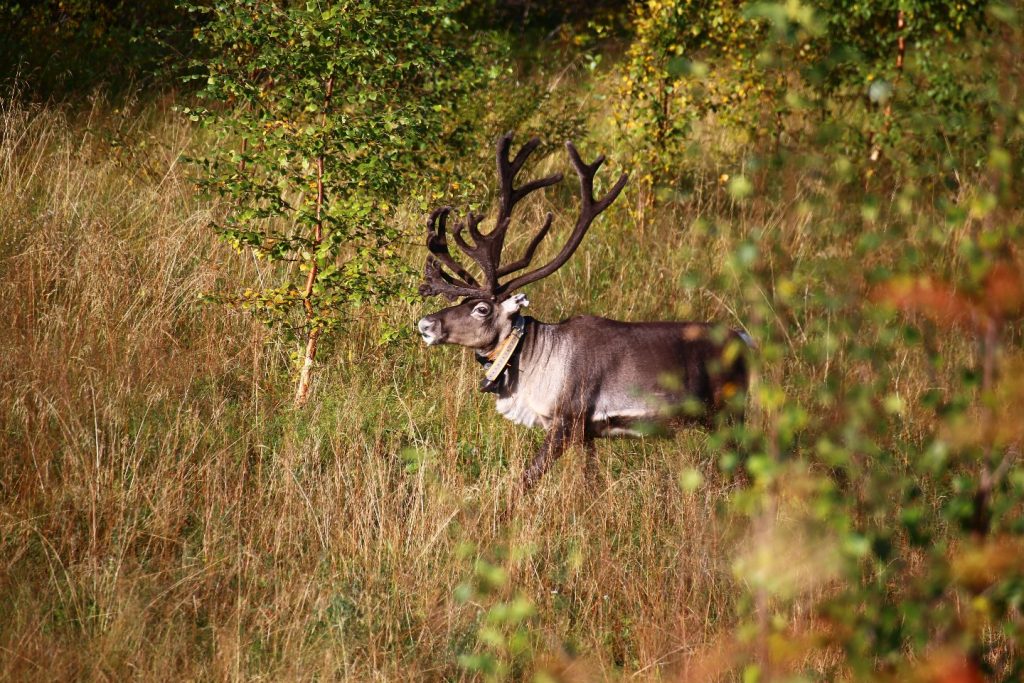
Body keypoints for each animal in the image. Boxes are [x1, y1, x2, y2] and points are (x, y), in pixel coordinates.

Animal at [417, 133, 752, 491]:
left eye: (481, 308)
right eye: (459, 303)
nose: (426, 324)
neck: (533, 357)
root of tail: (744, 340)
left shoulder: (568, 420)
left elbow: (528, 477)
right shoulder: (588, 432)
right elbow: (591, 479)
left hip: (727, 413)